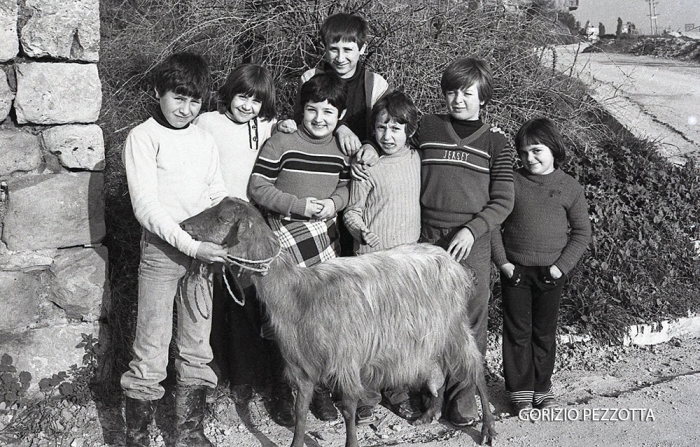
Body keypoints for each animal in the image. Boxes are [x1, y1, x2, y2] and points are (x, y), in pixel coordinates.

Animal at [180, 200, 498, 447]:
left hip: (455, 325)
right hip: (429, 333)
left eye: (223, 218)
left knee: (475, 369)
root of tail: (454, 262)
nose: (184, 225)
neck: (297, 293)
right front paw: (296, 442)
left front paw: (351, 442)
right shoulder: (301, 365)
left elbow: (347, 409)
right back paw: (429, 415)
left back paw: (487, 430)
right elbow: (301, 409)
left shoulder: (345, 359)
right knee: (437, 372)